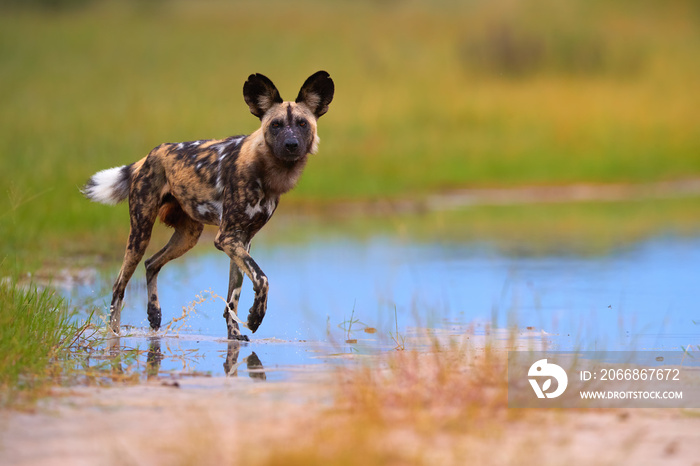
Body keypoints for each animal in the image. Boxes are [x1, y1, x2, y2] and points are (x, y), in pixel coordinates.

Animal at [82, 71, 334, 340]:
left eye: (302, 124)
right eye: (275, 125)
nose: (291, 144)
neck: (267, 171)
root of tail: (150, 155)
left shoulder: (241, 240)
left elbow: (233, 297)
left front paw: (234, 334)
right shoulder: (227, 238)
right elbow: (262, 278)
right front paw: (255, 318)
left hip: (188, 236)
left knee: (151, 264)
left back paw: (154, 314)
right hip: (140, 234)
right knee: (119, 284)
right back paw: (114, 335)